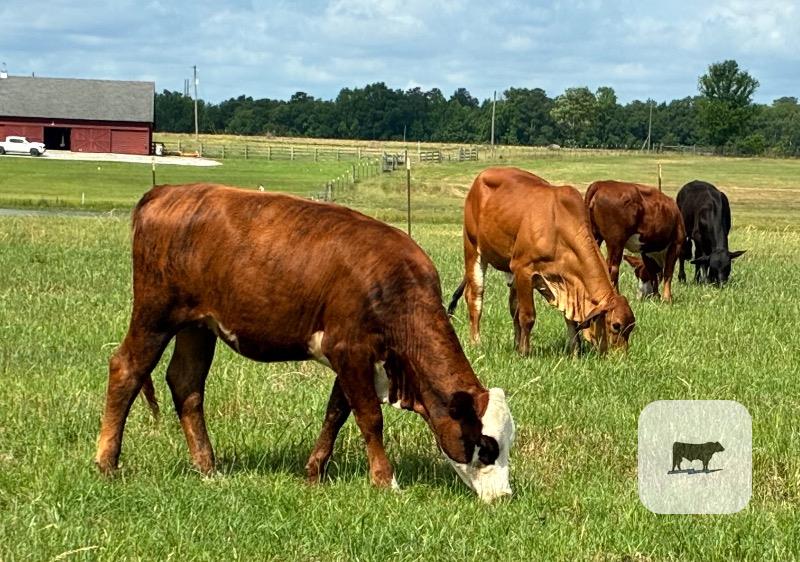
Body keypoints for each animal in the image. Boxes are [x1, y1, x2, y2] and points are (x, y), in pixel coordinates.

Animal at [94, 184, 515, 503]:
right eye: (486, 446)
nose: (504, 496)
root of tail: (167, 191)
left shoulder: (353, 360)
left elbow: (336, 414)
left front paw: (314, 472)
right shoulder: (351, 352)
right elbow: (369, 418)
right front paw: (385, 480)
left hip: (198, 326)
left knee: (186, 384)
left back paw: (208, 468)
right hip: (155, 314)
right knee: (127, 368)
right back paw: (107, 463)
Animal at [447, 167, 635, 356]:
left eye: (632, 326)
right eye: (616, 325)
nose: (620, 357)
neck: (558, 228)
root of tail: (481, 176)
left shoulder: (565, 284)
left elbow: (570, 321)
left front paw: (575, 351)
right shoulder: (523, 269)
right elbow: (527, 316)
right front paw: (525, 352)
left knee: (513, 307)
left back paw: (515, 343)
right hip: (473, 249)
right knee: (475, 298)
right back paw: (476, 343)